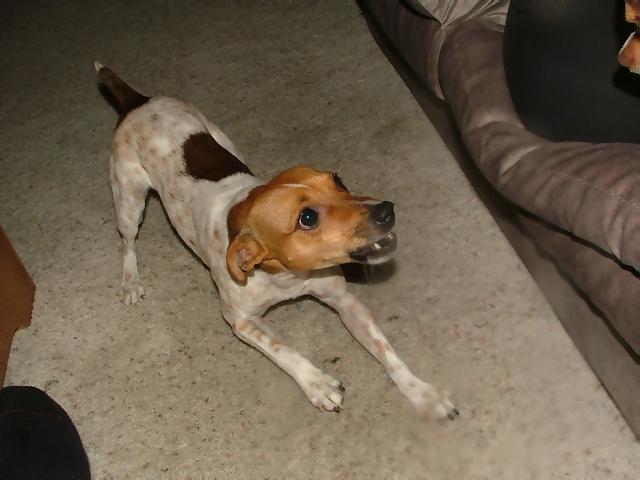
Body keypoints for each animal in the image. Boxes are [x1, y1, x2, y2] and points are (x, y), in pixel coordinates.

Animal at [96, 62, 458, 419]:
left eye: (338, 180)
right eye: (307, 218)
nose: (386, 210)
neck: (284, 277)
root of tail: (138, 101)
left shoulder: (344, 300)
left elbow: (386, 350)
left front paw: (421, 391)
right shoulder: (240, 321)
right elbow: (284, 350)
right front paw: (317, 383)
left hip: (220, 138)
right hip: (128, 199)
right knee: (127, 241)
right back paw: (131, 280)